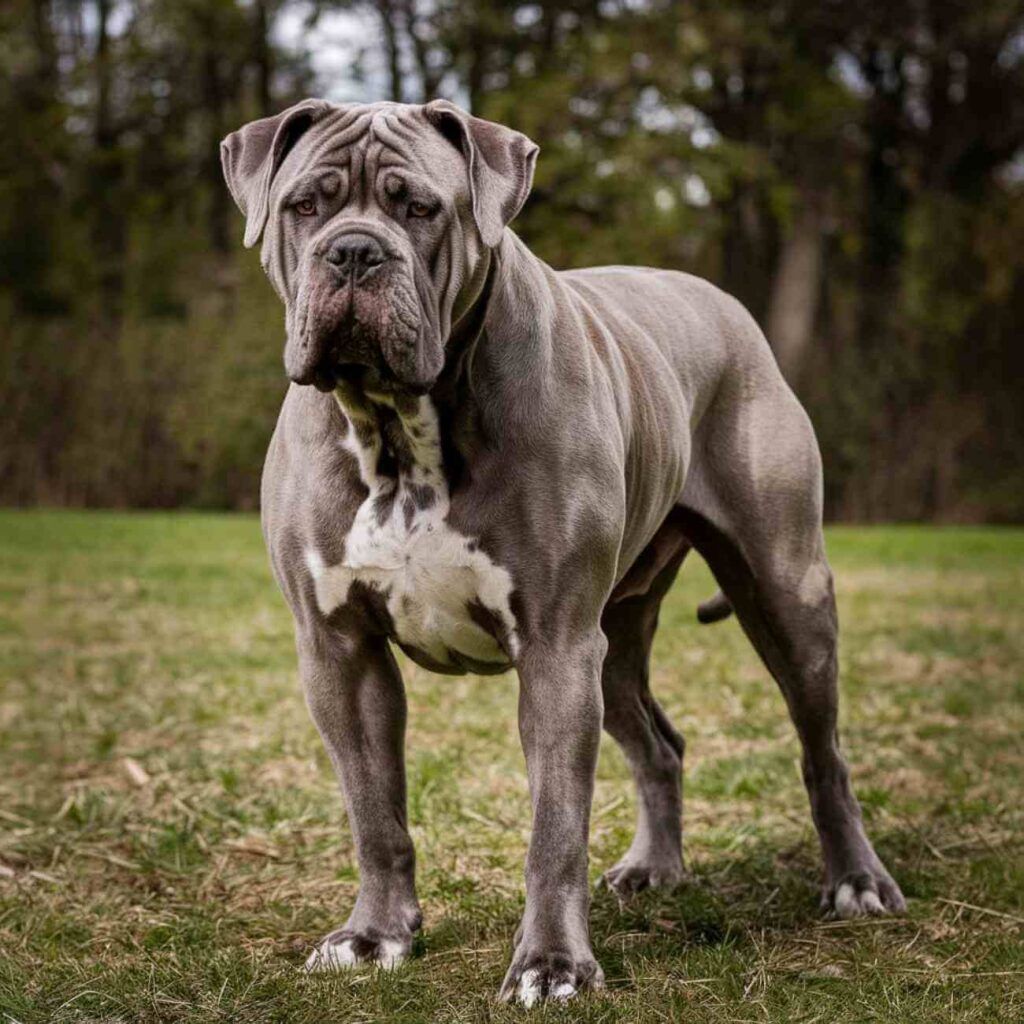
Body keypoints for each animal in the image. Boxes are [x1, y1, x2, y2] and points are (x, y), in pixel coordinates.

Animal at [220, 97, 901, 1007]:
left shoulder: (554, 648)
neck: (400, 428)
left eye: (420, 208)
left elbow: (555, 828)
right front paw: (375, 936)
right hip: (613, 645)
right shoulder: (339, 650)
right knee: (659, 745)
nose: (354, 252)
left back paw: (856, 882)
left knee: (823, 753)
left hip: (784, 595)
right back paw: (655, 870)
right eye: (304, 206)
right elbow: (375, 813)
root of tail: (724, 305)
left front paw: (551, 965)